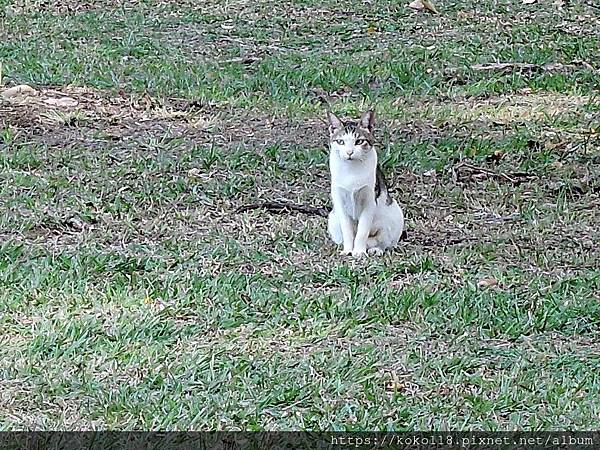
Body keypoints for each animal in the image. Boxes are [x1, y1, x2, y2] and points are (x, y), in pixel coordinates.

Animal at [326, 110, 406, 256]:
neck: (351, 170)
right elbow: (347, 230)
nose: (349, 152)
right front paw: (348, 250)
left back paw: (376, 249)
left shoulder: (370, 199)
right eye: (340, 142)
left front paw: (359, 252)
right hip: (333, 219)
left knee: (383, 241)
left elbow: (362, 230)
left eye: (359, 141)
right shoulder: (339, 199)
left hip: (393, 215)